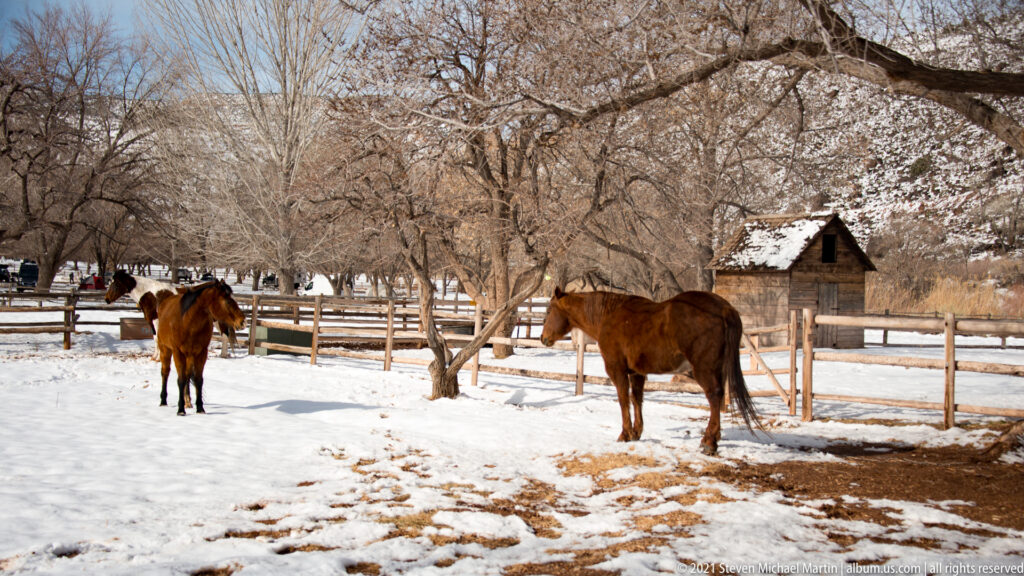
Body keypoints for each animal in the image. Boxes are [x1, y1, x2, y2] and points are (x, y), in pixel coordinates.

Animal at [156, 280, 246, 415]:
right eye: (228, 301)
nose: (243, 322)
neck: (188, 322)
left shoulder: (201, 353)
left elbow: (198, 380)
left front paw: (200, 408)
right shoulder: (178, 352)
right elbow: (181, 379)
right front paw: (180, 409)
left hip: (189, 355)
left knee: (188, 375)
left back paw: (187, 401)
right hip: (165, 349)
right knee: (165, 372)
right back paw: (163, 401)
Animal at [540, 288, 764, 455]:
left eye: (549, 311)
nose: (543, 338)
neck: (608, 316)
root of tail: (724, 308)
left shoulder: (617, 370)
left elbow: (623, 399)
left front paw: (625, 434)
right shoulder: (637, 373)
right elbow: (637, 399)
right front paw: (636, 432)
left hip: (704, 369)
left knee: (714, 397)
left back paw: (709, 441)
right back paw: (714, 437)